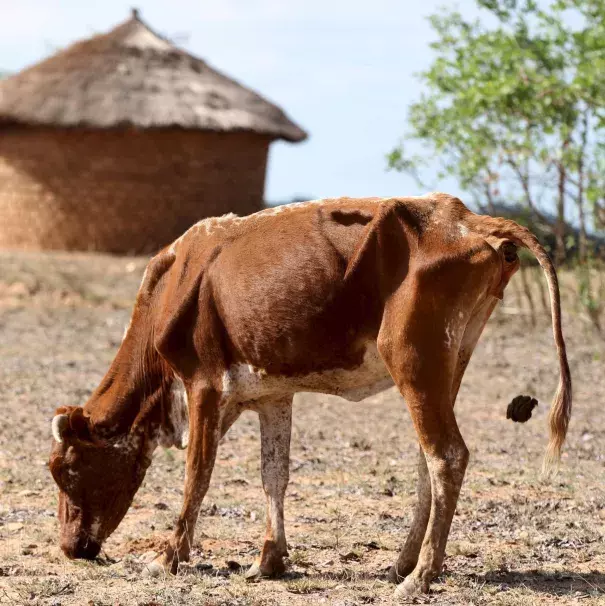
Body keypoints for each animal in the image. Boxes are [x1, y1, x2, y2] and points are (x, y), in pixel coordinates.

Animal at [48, 196, 572, 600]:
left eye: (66, 469)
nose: (70, 548)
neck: (176, 281)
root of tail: (466, 216)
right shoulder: (273, 395)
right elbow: (273, 475)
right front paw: (269, 559)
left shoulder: (203, 385)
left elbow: (197, 475)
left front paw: (167, 556)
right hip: (449, 361)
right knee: (429, 462)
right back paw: (403, 563)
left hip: (412, 359)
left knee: (447, 456)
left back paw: (420, 576)